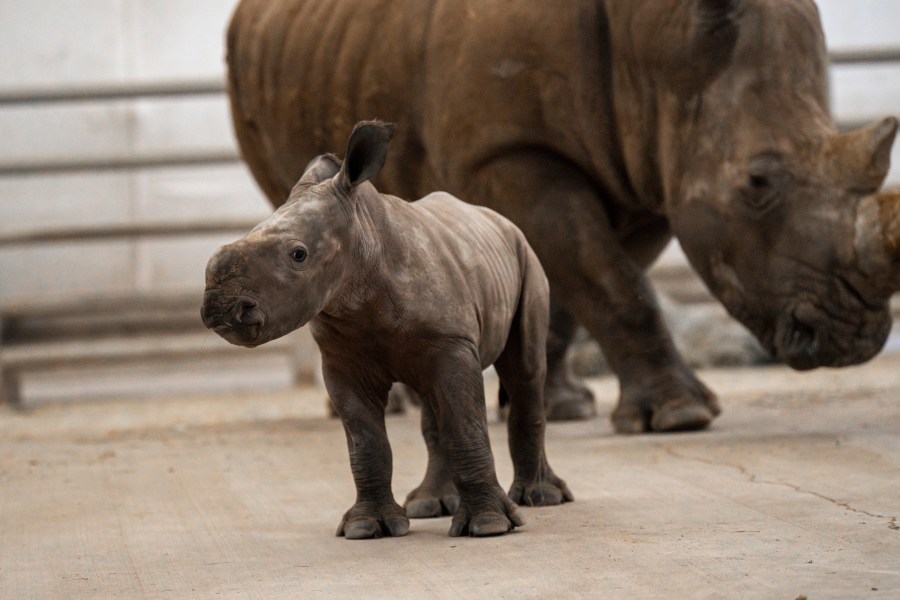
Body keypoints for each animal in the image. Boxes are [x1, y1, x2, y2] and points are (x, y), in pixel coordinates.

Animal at [202, 121, 572, 538]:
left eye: (298, 255)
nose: (220, 309)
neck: (364, 248)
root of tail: (500, 220)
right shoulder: (343, 360)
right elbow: (366, 442)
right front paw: (366, 527)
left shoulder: (450, 342)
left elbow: (465, 425)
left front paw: (489, 525)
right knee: (435, 402)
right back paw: (429, 505)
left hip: (527, 259)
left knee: (524, 372)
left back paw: (540, 498)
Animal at [225, 0, 899, 433]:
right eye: (757, 184)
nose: (854, 339)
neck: (657, 44)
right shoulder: (512, 149)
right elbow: (617, 285)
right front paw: (682, 418)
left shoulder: (645, 166)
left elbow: (580, 283)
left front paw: (556, 403)